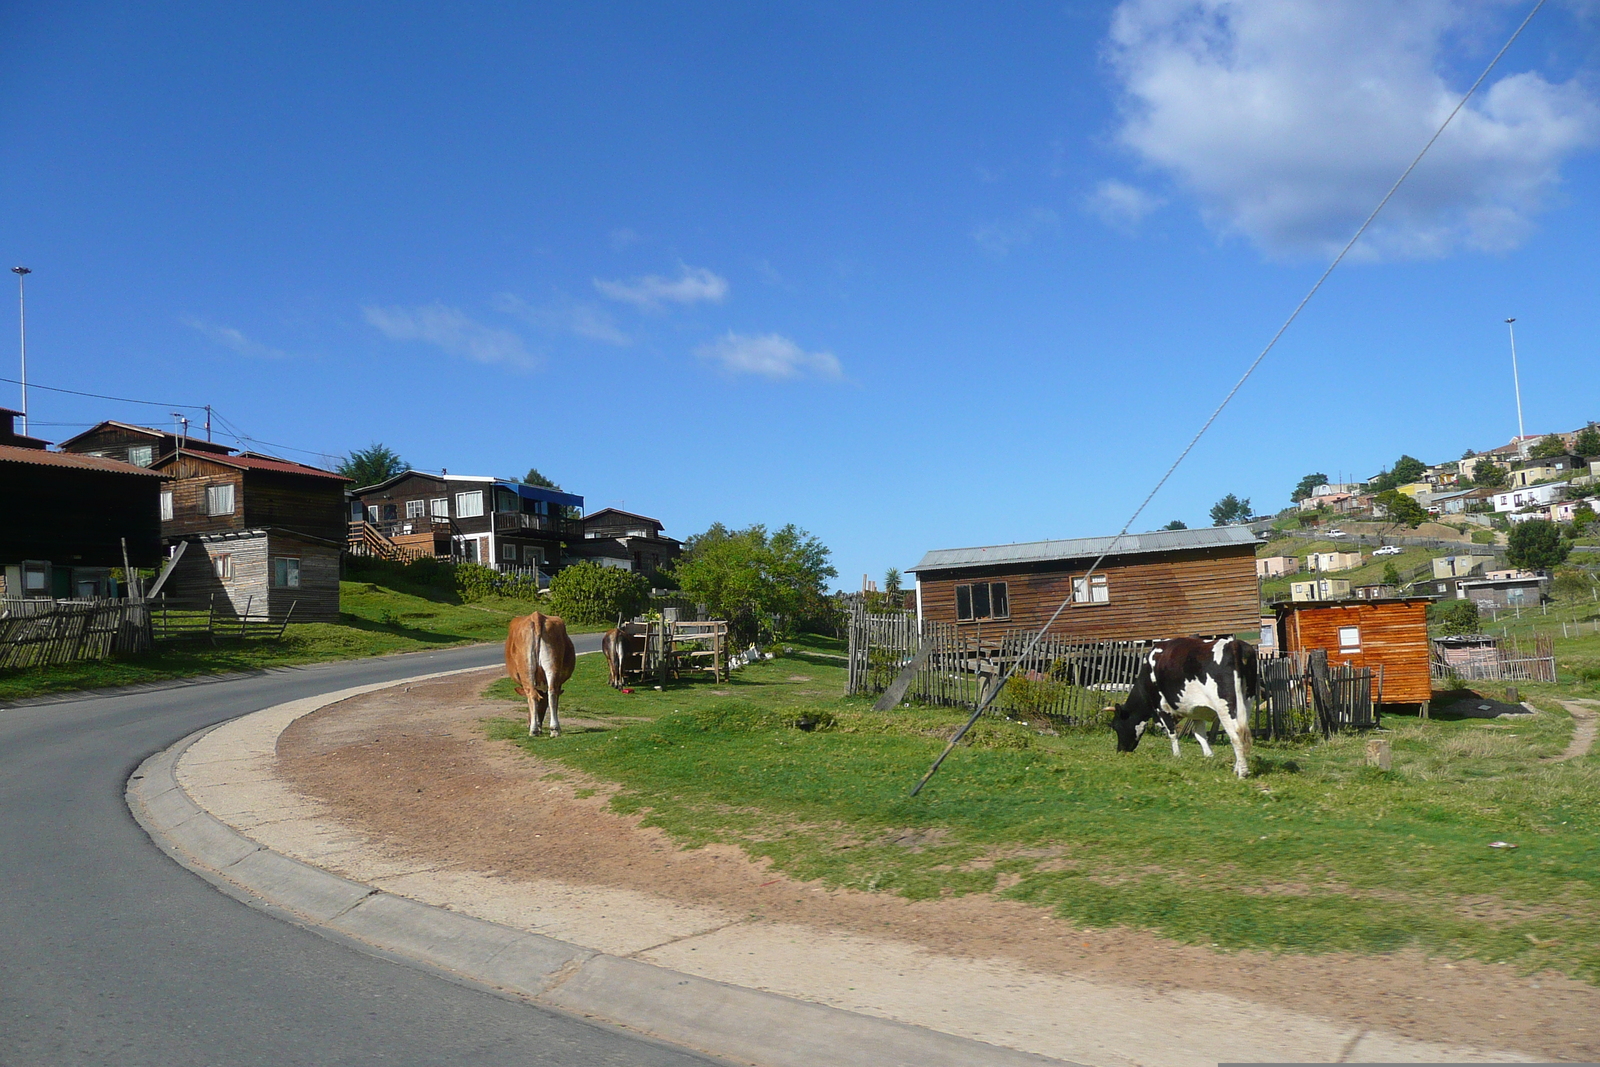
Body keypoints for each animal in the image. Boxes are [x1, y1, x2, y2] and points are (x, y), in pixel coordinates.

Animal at [1107, 639, 1254, 780]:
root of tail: (1234, 643)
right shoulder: (1197, 712)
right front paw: (1208, 756)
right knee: (1243, 733)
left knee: (1236, 737)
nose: (1120, 751)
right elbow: (1199, 734)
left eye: (1116, 726)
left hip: (1225, 707)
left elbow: (1172, 733)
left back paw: (1242, 773)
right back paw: (1237, 769)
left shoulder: (1161, 707)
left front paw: (1177, 756)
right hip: (1246, 704)